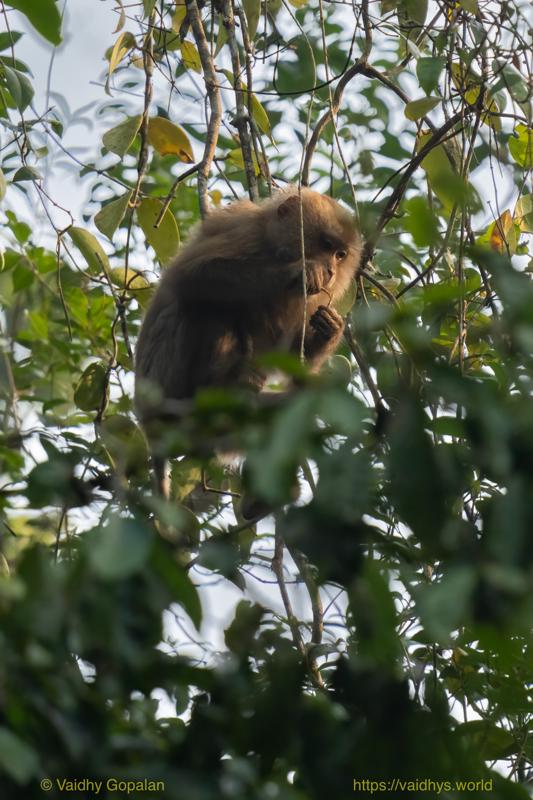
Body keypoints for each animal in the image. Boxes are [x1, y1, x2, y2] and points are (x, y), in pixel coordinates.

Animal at [135, 187, 362, 507]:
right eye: (326, 244)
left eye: (341, 255)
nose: (330, 270)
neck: (274, 249)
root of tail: (148, 425)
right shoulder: (244, 230)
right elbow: (193, 274)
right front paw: (300, 271)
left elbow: (288, 353)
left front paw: (329, 331)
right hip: (164, 389)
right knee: (204, 304)